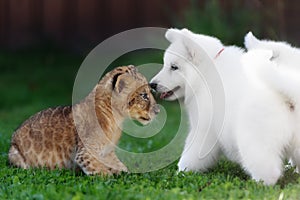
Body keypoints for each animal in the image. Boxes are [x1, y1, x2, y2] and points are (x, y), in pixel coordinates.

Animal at [151, 28, 296, 186]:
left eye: (174, 67)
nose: (152, 84)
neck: (205, 75)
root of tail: (287, 97)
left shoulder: (204, 129)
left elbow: (190, 155)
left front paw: (181, 172)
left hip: (252, 141)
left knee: (268, 171)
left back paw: (256, 183)